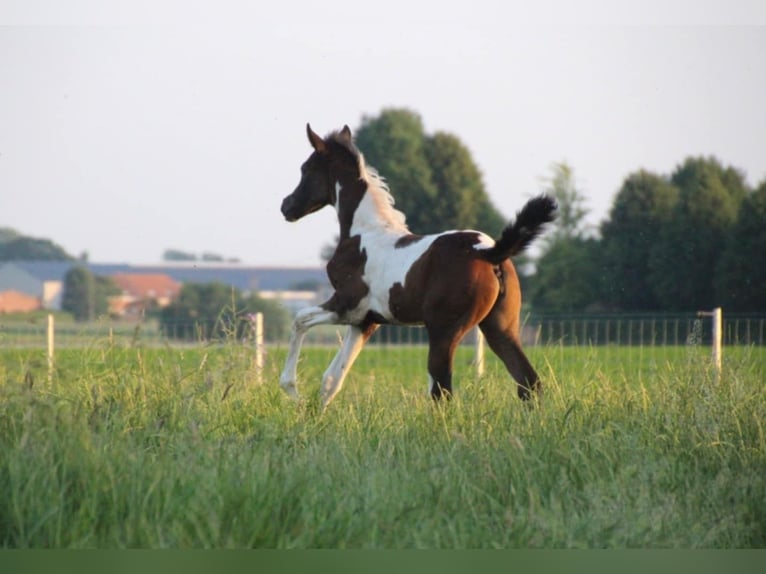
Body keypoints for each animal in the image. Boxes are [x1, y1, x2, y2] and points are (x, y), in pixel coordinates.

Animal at [279, 124, 557, 409]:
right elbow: (332, 379)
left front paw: (292, 391)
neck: (363, 233)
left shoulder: (347, 305)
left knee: (442, 389)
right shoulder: (365, 321)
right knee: (528, 383)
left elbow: (299, 320)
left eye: (306, 169)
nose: (286, 206)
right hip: (500, 328)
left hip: (444, 331)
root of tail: (488, 252)